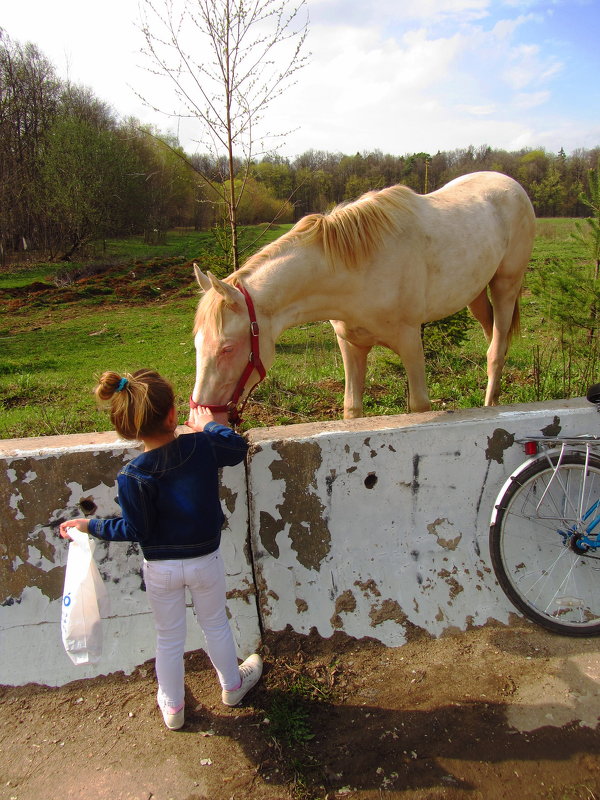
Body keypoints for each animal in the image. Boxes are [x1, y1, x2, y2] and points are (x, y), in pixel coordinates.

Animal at [191, 171, 536, 422]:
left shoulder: (410, 341)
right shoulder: (351, 345)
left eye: (227, 348)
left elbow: (419, 405)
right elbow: (352, 409)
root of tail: (511, 184)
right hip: (475, 294)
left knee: (495, 351)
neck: (357, 269)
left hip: (505, 285)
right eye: (197, 344)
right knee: (494, 339)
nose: (199, 416)